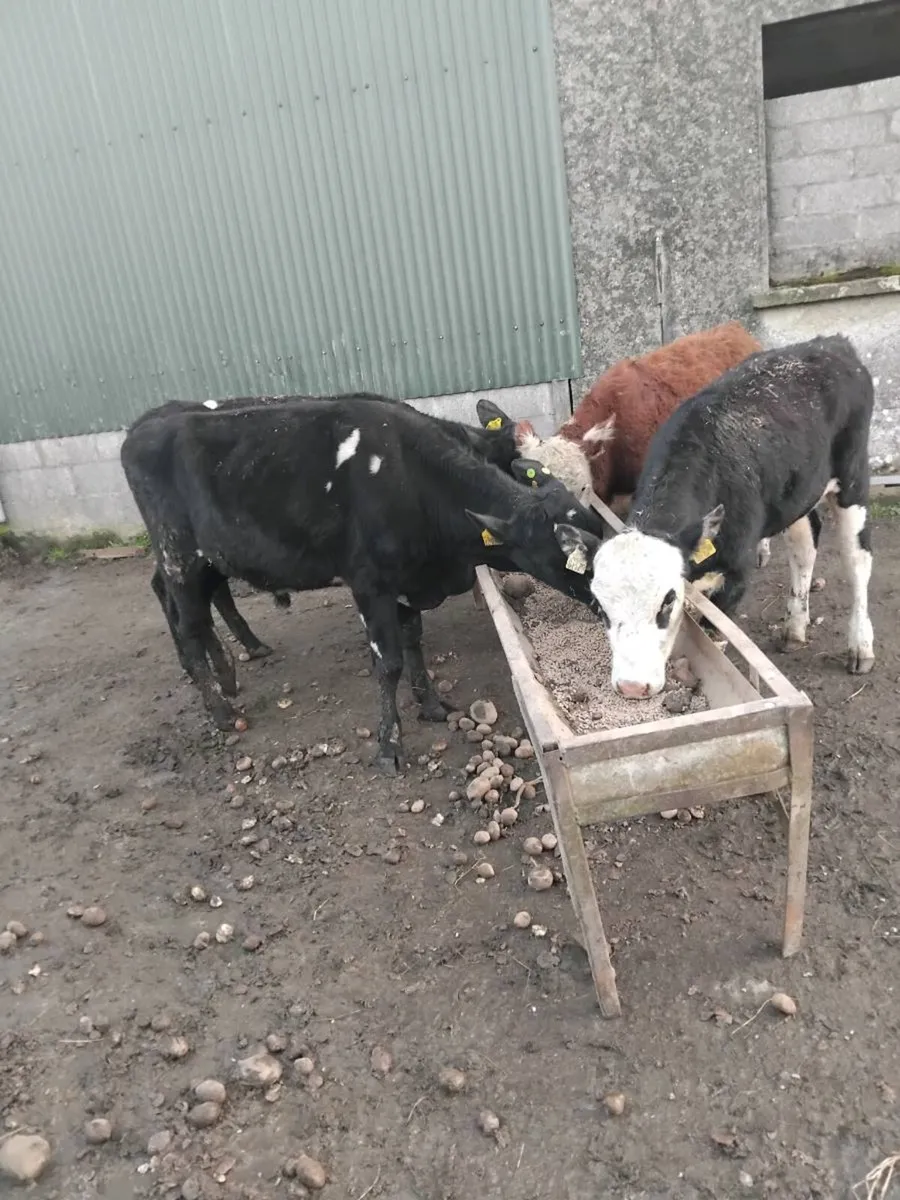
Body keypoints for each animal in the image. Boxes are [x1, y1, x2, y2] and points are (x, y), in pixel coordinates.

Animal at [551, 335, 875, 698]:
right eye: (600, 605)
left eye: (667, 601)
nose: (632, 687)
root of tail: (832, 343)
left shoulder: (735, 572)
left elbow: (713, 637)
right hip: (799, 490)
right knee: (805, 545)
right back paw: (794, 628)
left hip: (853, 480)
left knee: (857, 560)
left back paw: (861, 647)